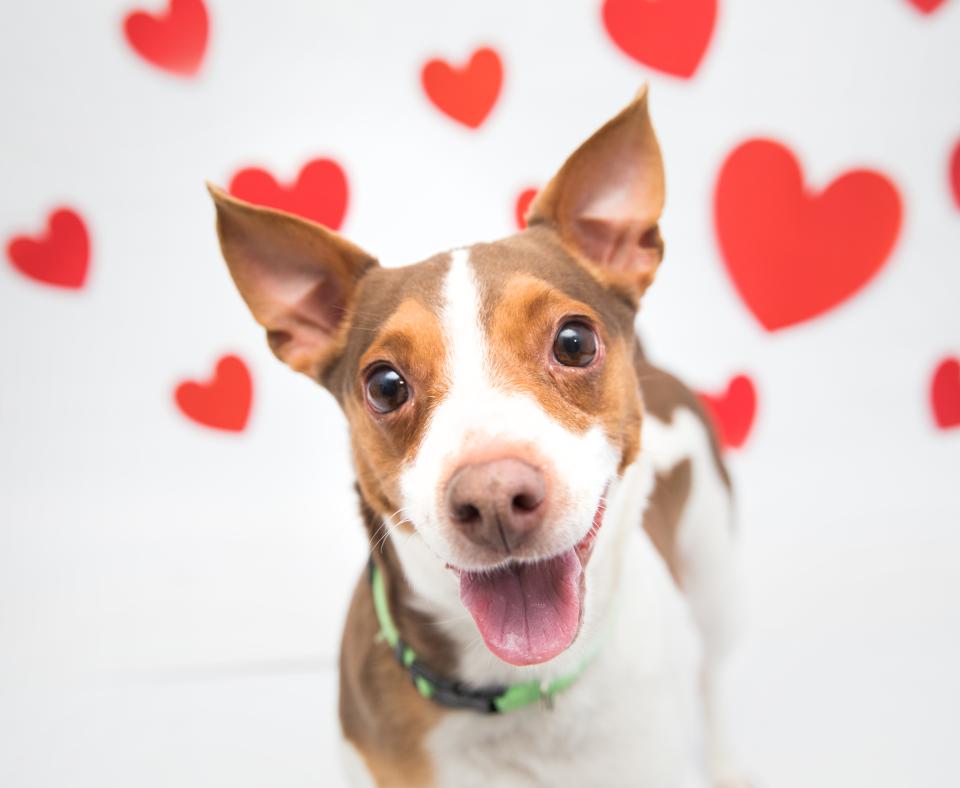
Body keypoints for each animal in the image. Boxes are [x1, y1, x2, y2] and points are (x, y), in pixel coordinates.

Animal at [208, 87, 752, 788]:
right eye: (385, 385)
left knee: (714, 677)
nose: (494, 498)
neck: (519, 686)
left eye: (574, 342)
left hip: (715, 574)